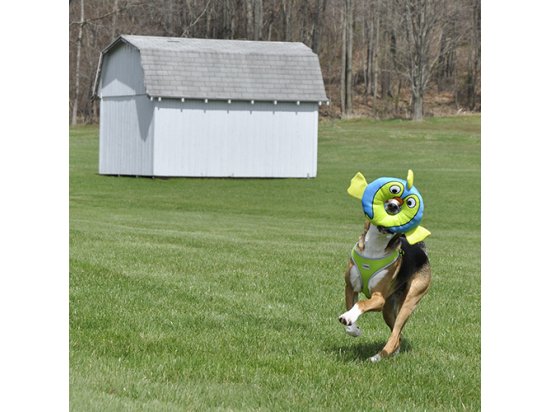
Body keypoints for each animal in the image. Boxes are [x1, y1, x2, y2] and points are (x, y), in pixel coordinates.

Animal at [338, 220, 434, 362]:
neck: (376, 246)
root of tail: (422, 251)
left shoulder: (379, 299)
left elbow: (361, 303)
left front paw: (348, 317)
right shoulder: (350, 288)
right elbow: (351, 309)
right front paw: (354, 329)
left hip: (409, 302)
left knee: (395, 334)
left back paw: (377, 357)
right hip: (388, 310)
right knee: (398, 336)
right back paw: (392, 353)